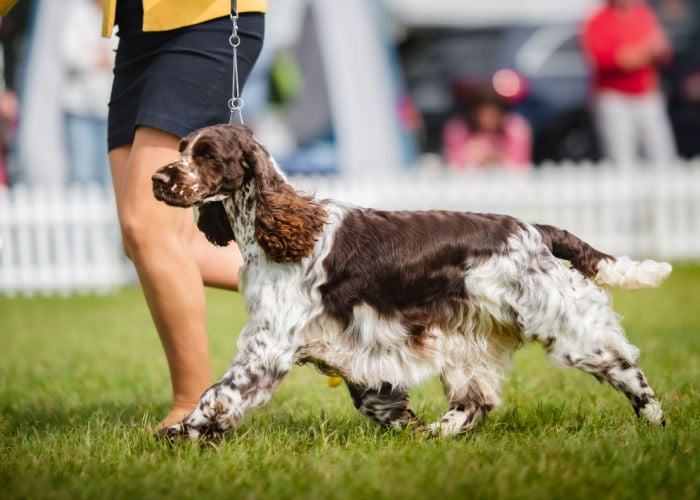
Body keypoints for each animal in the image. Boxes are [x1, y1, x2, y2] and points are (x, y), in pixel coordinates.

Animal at [152, 125, 668, 442]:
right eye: (181, 149)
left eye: (206, 155)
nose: (157, 177)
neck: (275, 227)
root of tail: (535, 230)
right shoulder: (346, 345)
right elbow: (375, 398)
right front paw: (409, 426)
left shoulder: (269, 343)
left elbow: (220, 393)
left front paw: (179, 434)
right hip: (465, 341)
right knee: (475, 401)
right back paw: (436, 435)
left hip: (562, 323)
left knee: (625, 369)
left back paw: (658, 424)